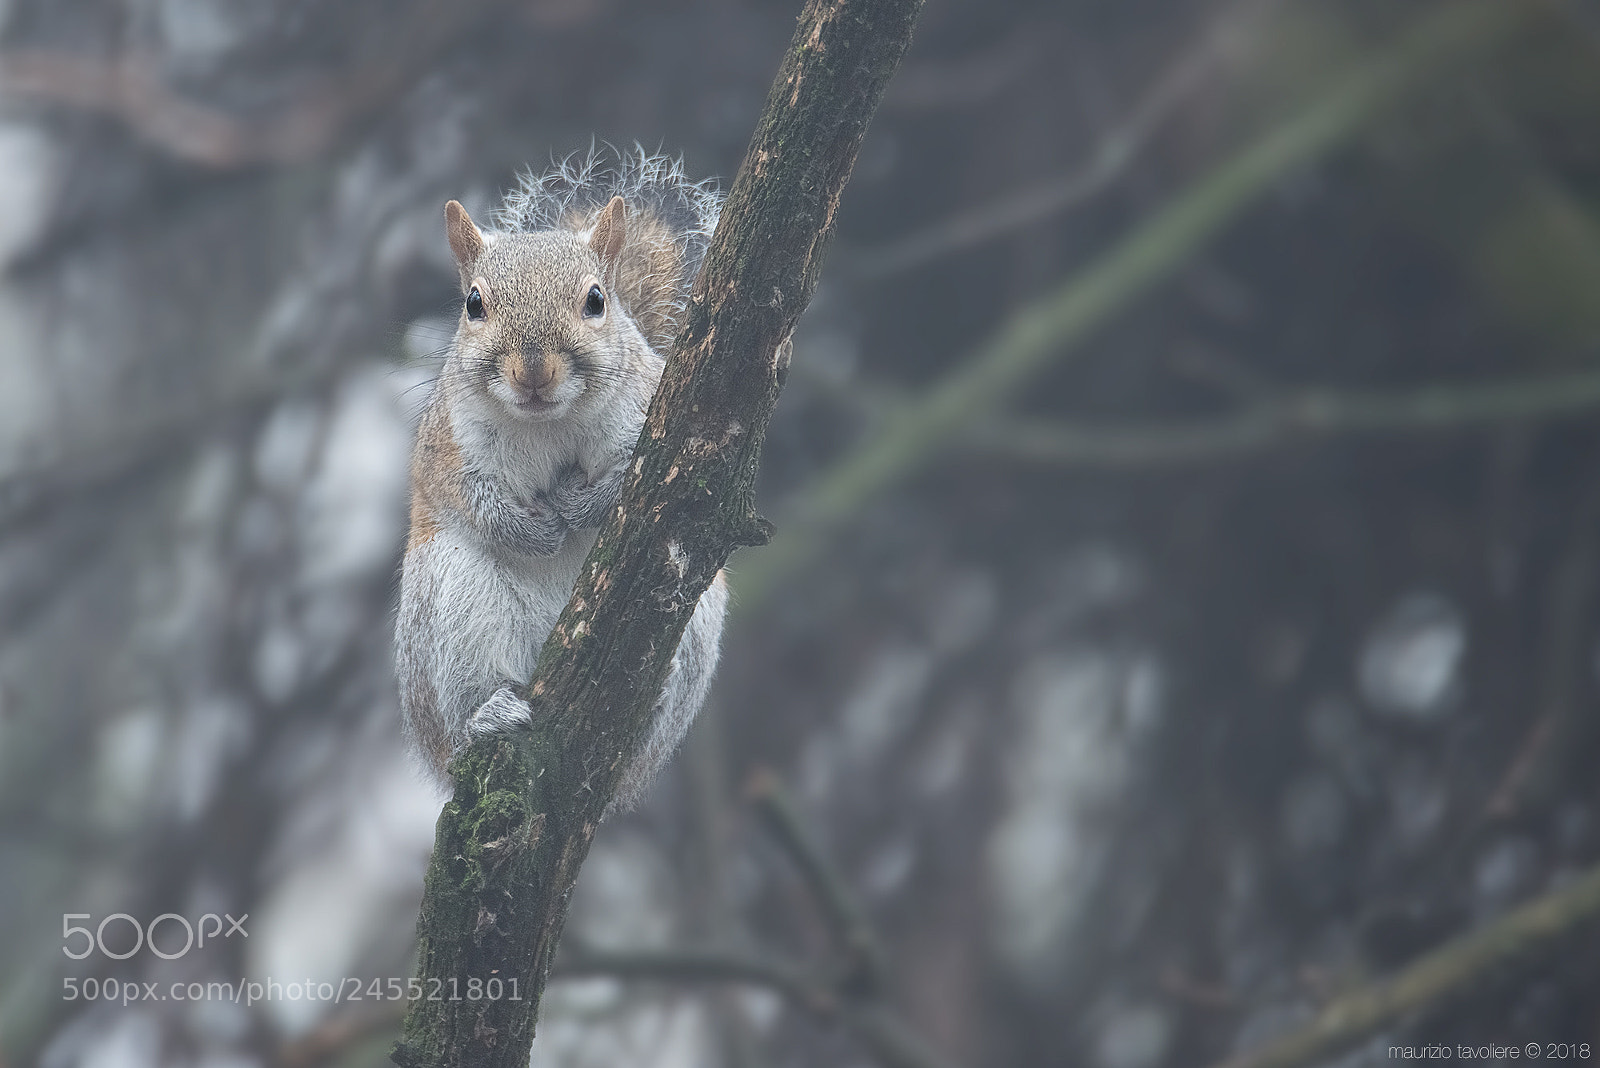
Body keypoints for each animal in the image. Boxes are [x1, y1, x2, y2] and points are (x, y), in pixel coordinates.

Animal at [396, 150, 729, 811]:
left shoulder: (655, 421)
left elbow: (631, 480)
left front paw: (581, 507)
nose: (533, 371)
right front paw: (537, 531)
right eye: (474, 304)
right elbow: (472, 500)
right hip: (449, 605)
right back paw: (486, 719)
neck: (548, 424)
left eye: (596, 300)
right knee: (466, 713)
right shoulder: (447, 451)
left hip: (697, 623)